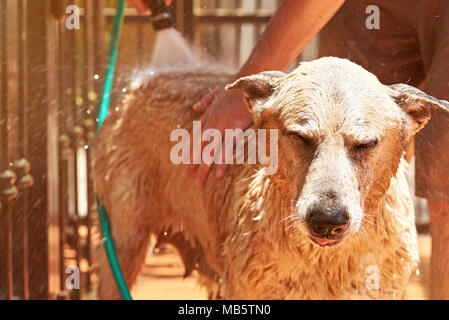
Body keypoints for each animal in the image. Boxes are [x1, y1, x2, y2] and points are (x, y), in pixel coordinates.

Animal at [93, 57, 448, 300]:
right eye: (299, 137)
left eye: (365, 144)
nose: (327, 221)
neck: (325, 262)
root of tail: (138, 86)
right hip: (123, 247)